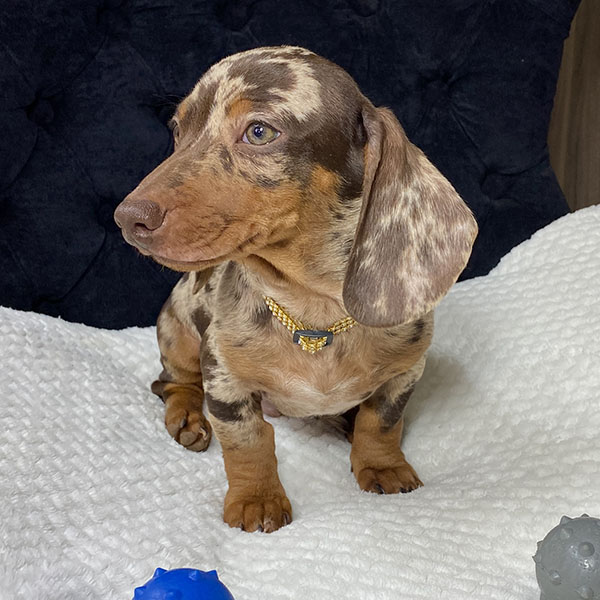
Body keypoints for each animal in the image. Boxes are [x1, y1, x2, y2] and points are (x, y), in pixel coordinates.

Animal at [114, 46, 478, 533]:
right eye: (177, 130)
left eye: (259, 131)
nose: (126, 218)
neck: (314, 313)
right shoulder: (224, 380)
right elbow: (248, 442)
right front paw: (257, 499)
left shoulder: (406, 371)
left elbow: (382, 422)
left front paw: (381, 465)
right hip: (178, 329)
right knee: (171, 382)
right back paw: (187, 416)